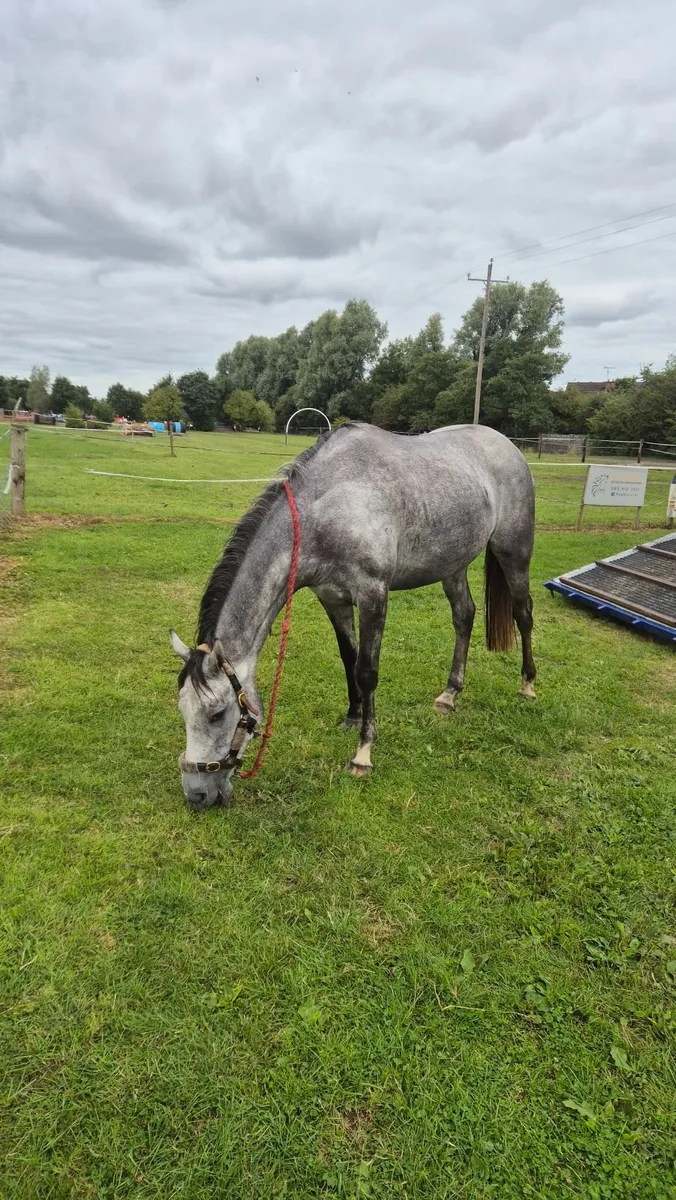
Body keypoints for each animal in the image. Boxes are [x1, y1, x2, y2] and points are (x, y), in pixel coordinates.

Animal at [170, 422, 536, 809]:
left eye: (216, 714)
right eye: (182, 710)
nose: (196, 794)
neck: (329, 509)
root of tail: (506, 444)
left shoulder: (373, 594)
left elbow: (367, 671)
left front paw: (363, 753)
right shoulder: (334, 600)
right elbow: (349, 659)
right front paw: (351, 716)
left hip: (514, 552)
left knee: (523, 613)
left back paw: (527, 685)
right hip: (453, 565)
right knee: (464, 616)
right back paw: (449, 694)